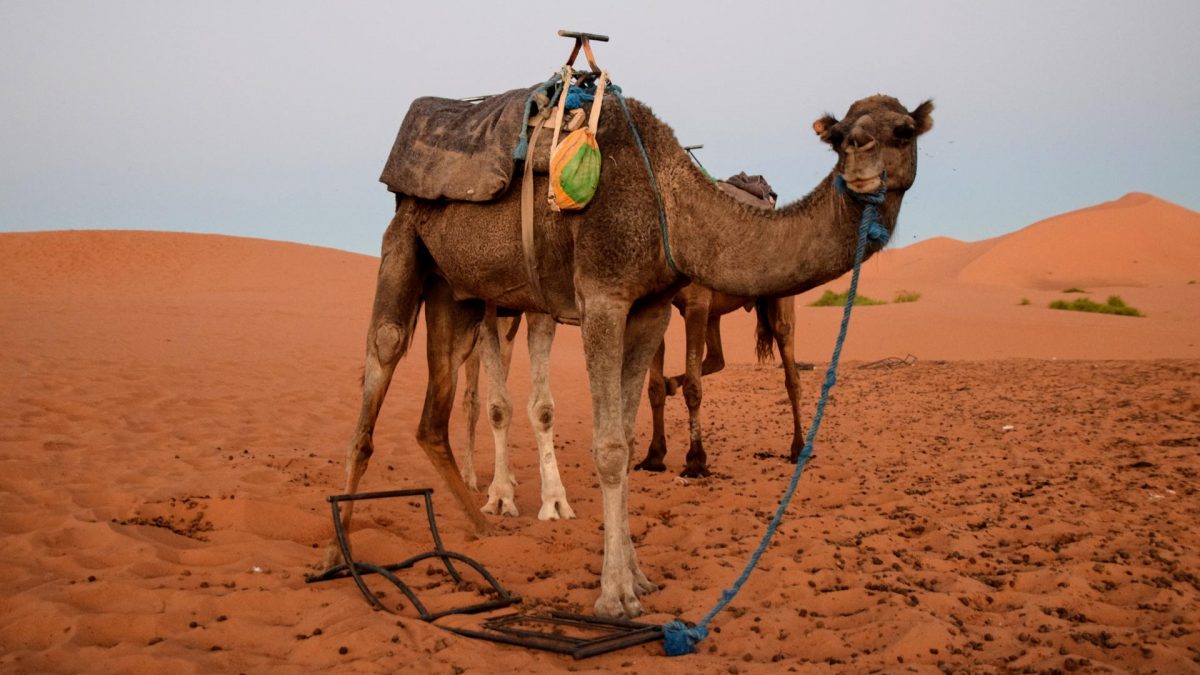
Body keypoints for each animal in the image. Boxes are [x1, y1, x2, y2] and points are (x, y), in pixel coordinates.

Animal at [328, 91, 936, 619]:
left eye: (903, 131)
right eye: (839, 137)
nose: (861, 160)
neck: (671, 201)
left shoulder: (651, 307)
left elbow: (628, 421)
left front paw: (637, 577)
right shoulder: (602, 295)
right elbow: (611, 446)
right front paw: (614, 596)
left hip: (458, 292)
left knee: (434, 415)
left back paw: (483, 530)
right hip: (406, 242)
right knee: (383, 353)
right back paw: (341, 556)